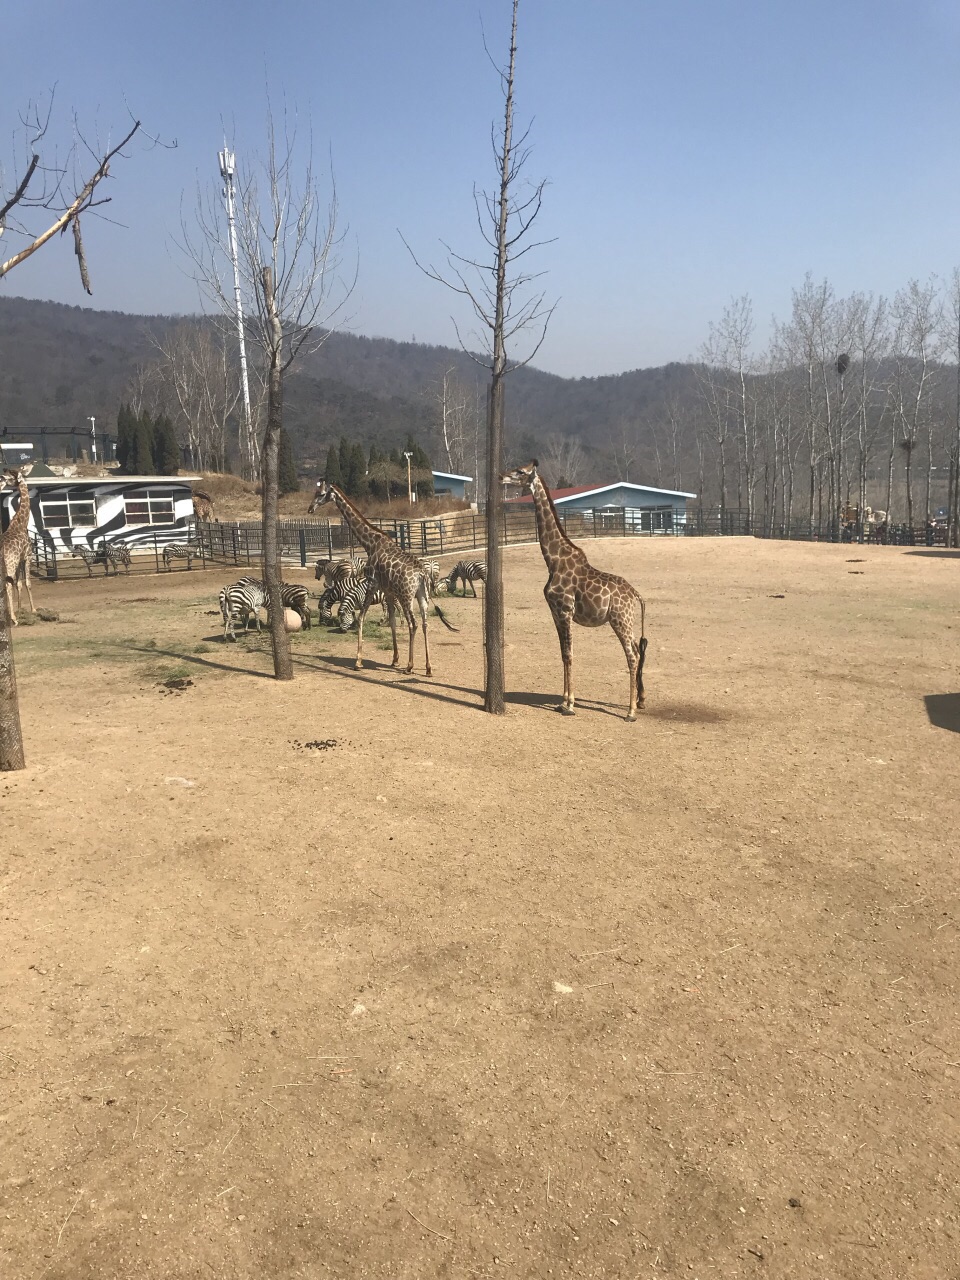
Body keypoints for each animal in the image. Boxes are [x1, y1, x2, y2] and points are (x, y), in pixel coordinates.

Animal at [308, 481, 458, 675]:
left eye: (321, 494)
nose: (310, 508)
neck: (370, 543)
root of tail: (421, 574)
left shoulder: (372, 583)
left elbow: (361, 617)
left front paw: (358, 661)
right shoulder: (387, 590)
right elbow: (392, 621)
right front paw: (395, 659)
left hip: (406, 595)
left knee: (414, 624)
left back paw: (410, 666)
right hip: (421, 595)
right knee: (425, 623)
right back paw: (428, 668)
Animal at [504, 460, 647, 721]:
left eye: (520, 471)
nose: (501, 476)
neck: (553, 560)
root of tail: (636, 595)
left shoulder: (565, 610)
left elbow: (569, 654)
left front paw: (570, 705)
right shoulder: (555, 613)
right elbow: (563, 653)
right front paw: (563, 702)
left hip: (620, 620)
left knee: (631, 657)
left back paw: (630, 711)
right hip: (628, 621)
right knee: (637, 652)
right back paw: (639, 702)